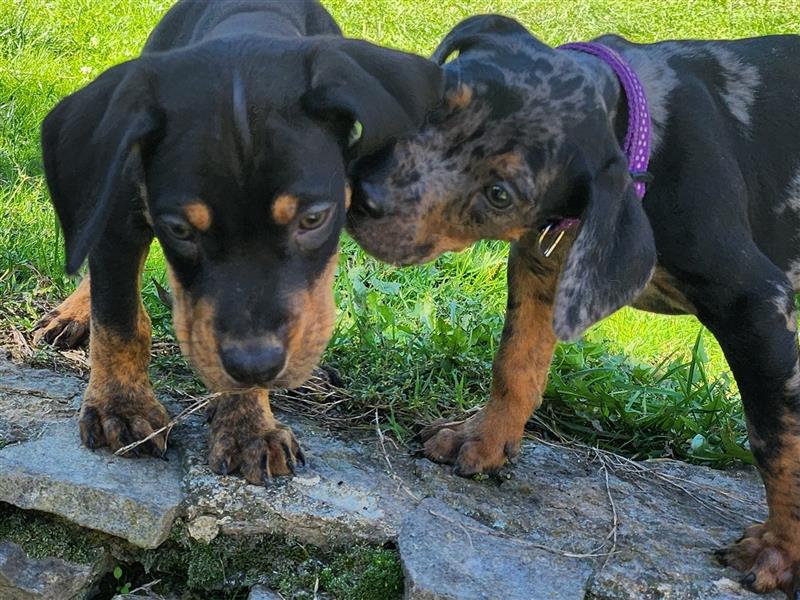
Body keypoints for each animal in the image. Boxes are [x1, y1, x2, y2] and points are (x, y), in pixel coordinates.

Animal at [34, 0, 440, 486]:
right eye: (180, 230)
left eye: (313, 219)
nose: (254, 366)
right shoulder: (118, 215)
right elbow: (118, 319)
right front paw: (121, 407)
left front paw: (248, 426)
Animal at [348, 16, 800, 596]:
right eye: (438, 104)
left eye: (499, 194)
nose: (361, 194)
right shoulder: (541, 263)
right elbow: (515, 363)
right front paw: (484, 438)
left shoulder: (756, 302)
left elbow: (776, 439)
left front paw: (781, 549)